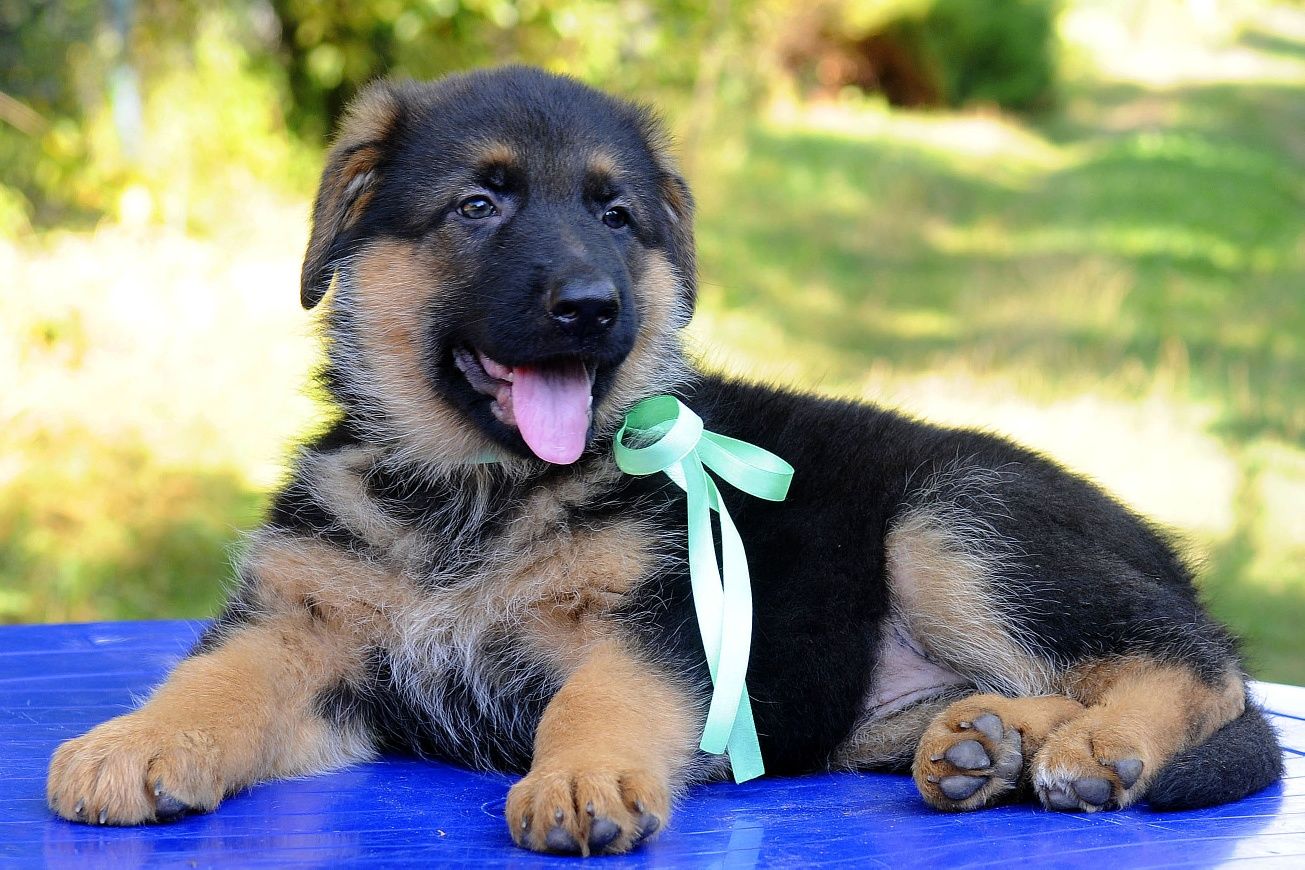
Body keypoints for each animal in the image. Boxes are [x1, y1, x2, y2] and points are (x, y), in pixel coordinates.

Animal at [46, 68, 1278, 855]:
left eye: (617, 215)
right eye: (478, 205)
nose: (593, 307)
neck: (473, 497)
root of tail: (1164, 556)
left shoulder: (652, 624)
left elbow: (599, 703)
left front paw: (580, 777)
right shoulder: (303, 634)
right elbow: (214, 683)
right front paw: (133, 745)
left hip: (953, 521)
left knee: (1198, 661)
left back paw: (1098, 743)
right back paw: (991, 744)